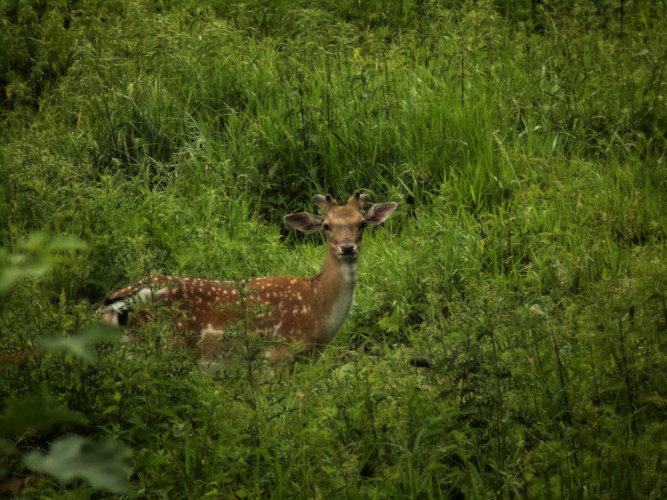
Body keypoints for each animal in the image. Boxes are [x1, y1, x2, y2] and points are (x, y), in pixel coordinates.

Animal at [100, 191, 396, 372]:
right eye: (326, 225)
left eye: (361, 223)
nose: (347, 247)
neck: (318, 307)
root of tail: (113, 304)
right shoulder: (277, 355)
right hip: (159, 347)